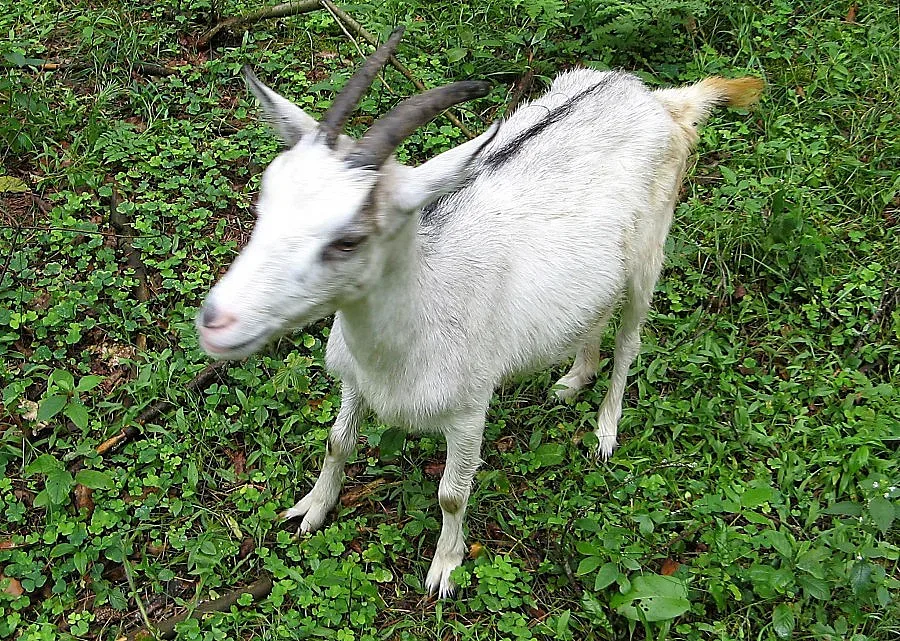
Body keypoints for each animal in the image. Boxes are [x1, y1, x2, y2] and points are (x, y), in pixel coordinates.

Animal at [196, 26, 763, 597]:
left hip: (650, 251)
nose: (216, 322)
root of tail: (662, 102)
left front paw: (445, 569)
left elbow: (452, 492)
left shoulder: (470, 409)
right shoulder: (354, 379)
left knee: (630, 340)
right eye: (266, 199)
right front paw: (311, 509)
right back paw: (573, 379)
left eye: (348, 239)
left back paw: (605, 430)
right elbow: (337, 443)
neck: (421, 315)